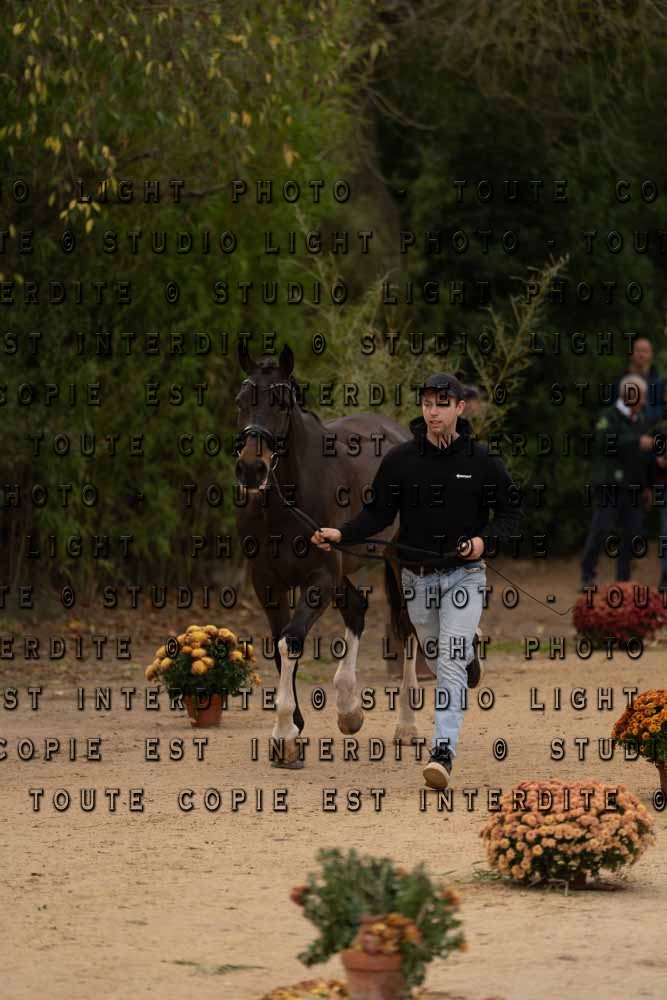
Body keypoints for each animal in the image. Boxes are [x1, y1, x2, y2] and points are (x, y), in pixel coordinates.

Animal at [233, 342, 423, 766]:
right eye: (240, 401)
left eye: (283, 403)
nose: (251, 469)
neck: (286, 502)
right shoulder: (267, 582)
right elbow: (279, 646)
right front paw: (293, 731)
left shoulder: (318, 577)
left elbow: (291, 641)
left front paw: (285, 733)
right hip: (344, 569)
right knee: (356, 608)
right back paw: (349, 709)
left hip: (399, 560)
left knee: (407, 628)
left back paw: (406, 726)